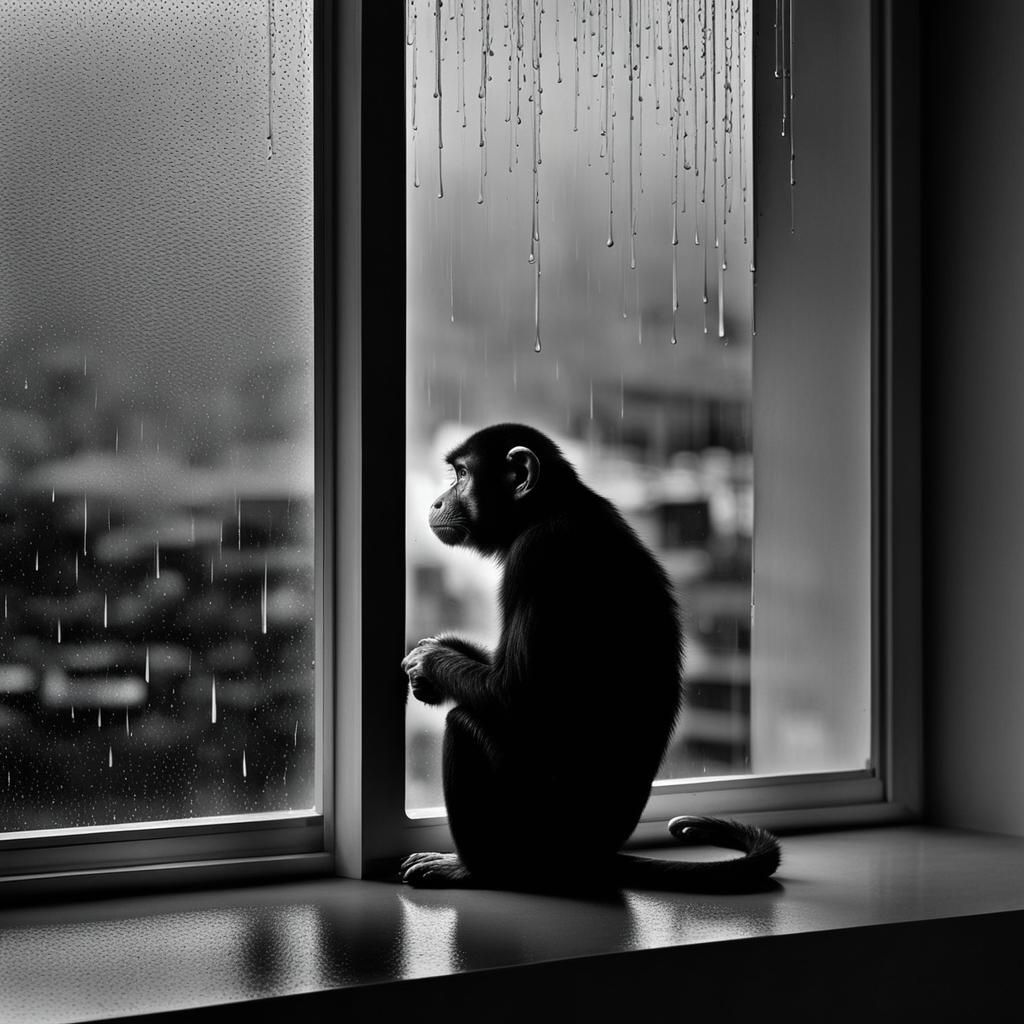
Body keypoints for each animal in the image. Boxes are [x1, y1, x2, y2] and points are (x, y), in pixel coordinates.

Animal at [400, 423, 780, 893]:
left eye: (463, 475)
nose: (438, 499)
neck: (546, 508)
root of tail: (593, 855)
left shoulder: (537, 554)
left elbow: (515, 694)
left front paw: (429, 660)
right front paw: (436, 651)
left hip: (539, 832)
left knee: (465, 725)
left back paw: (476, 869)